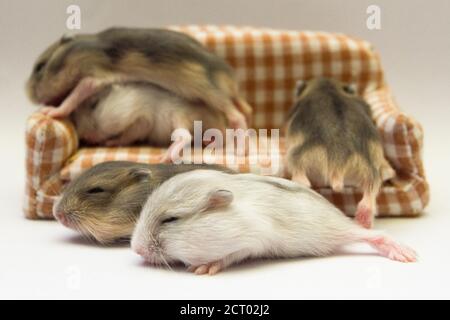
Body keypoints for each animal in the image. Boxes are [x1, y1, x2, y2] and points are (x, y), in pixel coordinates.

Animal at [26, 27, 251, 130]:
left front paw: (51, 111)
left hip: (209, 92)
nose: (27, 94)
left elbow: (72, 97)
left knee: (237, 115)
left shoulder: (94, 76)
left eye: (40, 67)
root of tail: (232, 82)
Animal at [73, 81, 227, 161]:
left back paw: (164, 156)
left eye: (94, 104)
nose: (85, 137)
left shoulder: (143, 119)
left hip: (178, 115)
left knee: (184, 136)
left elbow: (128, 135)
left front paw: (110, 142)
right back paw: (208, 142)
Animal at [131, 170, 418, 276]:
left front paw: (203, 268)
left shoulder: (250, 242)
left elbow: (227, 257)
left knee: (374, 235)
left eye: (171, 219)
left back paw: (406, 254)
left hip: (341, 232)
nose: (135, 249)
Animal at [286, 76, 392, 229]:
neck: (327, 86)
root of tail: (339, 159)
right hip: (369, 169)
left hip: (298, 157)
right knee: (370, 194)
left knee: (302, 180)